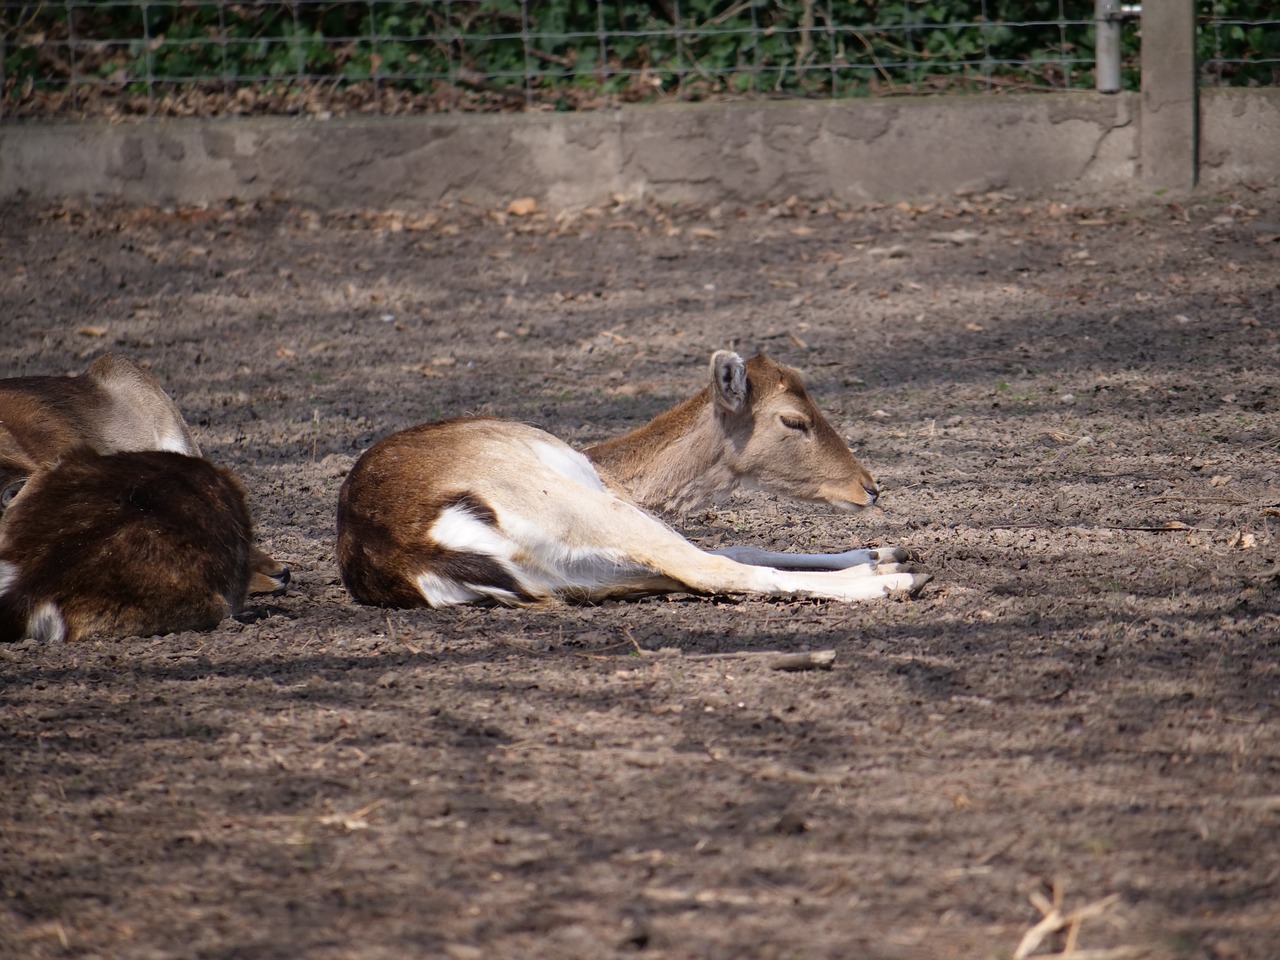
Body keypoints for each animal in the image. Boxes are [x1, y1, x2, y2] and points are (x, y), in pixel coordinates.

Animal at [335, 350, 926, 609]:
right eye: (794, 420)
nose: (869, 487)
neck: (610, 467)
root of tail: (419, 548)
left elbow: (738, 545)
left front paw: (884, 549)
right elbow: (731, 549)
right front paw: (886, 562)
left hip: (572, 576)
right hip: (575, 507)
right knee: (709, 567)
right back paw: (893, 582)